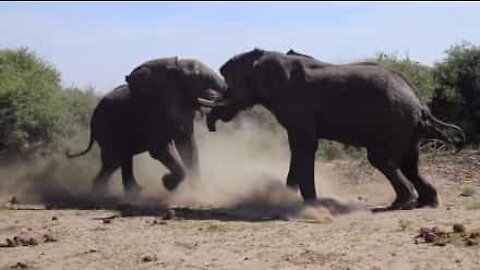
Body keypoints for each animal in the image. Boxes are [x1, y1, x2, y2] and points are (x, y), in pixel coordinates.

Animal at [66, 57, 229, 196]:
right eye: (199, 79)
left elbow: (188, 146)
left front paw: (197, 193)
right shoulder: (153, 110)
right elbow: (160, 149)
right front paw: (168, 184)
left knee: (115, 162)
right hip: (105, 127)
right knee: (114, 159)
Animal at [206, 48, 464, 209]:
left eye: (228, 83)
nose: (212, 127)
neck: (265, 56)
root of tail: (421, 104)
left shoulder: (297, 105)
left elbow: (305, 145)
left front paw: (308, 202)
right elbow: (297, 147)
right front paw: (287, 198)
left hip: (394, 122)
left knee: (382, 159)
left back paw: (403, 203)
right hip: (405, 127)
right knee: (410, 163)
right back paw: (425, 202)